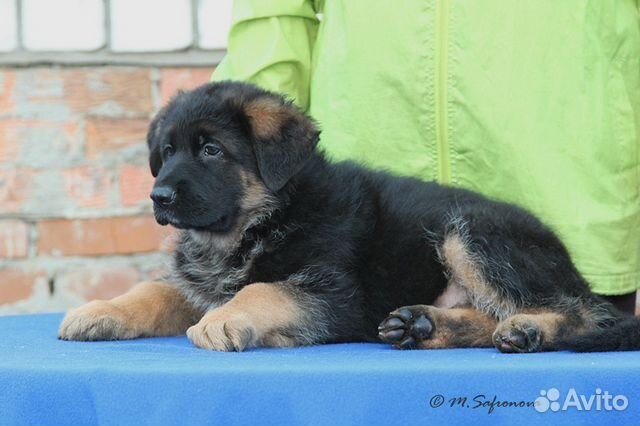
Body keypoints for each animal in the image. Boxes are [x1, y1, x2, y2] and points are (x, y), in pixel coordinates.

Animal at [58, 80, 636, 352]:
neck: (261, 218)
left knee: (587, 312)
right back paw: (424, 324)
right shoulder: (200, 281)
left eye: (212, 151)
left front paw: (223, 320)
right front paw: (102, 309)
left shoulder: (335, 293)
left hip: (472, 233)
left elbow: (264, 289)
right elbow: (152, 290)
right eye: (167, 151)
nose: (159, 197)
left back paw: (530, 329)